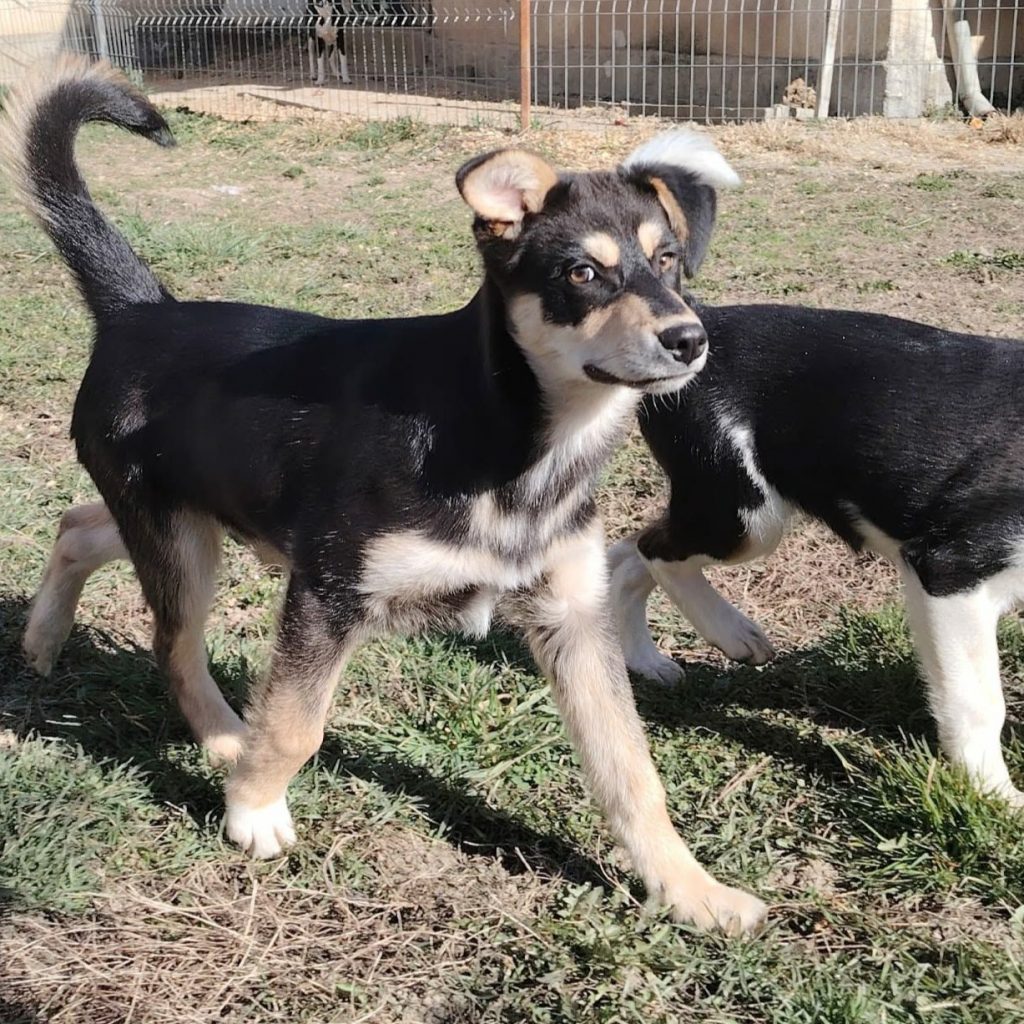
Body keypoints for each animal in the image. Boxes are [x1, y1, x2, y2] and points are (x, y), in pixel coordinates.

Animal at [1, 60, 765, 934]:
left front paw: (690, 890)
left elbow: (630, 770)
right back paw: (228, 738)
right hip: (180, 542)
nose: (690, 340)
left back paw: (41, 641)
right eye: (583, 273)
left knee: (78, 526)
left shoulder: (574, 616)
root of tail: (139, 311)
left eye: (667, 260)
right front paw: (253, 811)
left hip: (181, 519)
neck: (517, 441)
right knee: (173, 644)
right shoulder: (327, 595)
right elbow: (296, 725)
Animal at [608, 300, 1024, 809]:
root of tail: (709, 316)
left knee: (629, 554)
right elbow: (978, 701)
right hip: (743, 516)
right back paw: (733, 634)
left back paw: (647, 661)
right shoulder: (950, 570)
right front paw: (995, 796)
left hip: (715, 506)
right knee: (654, 551)